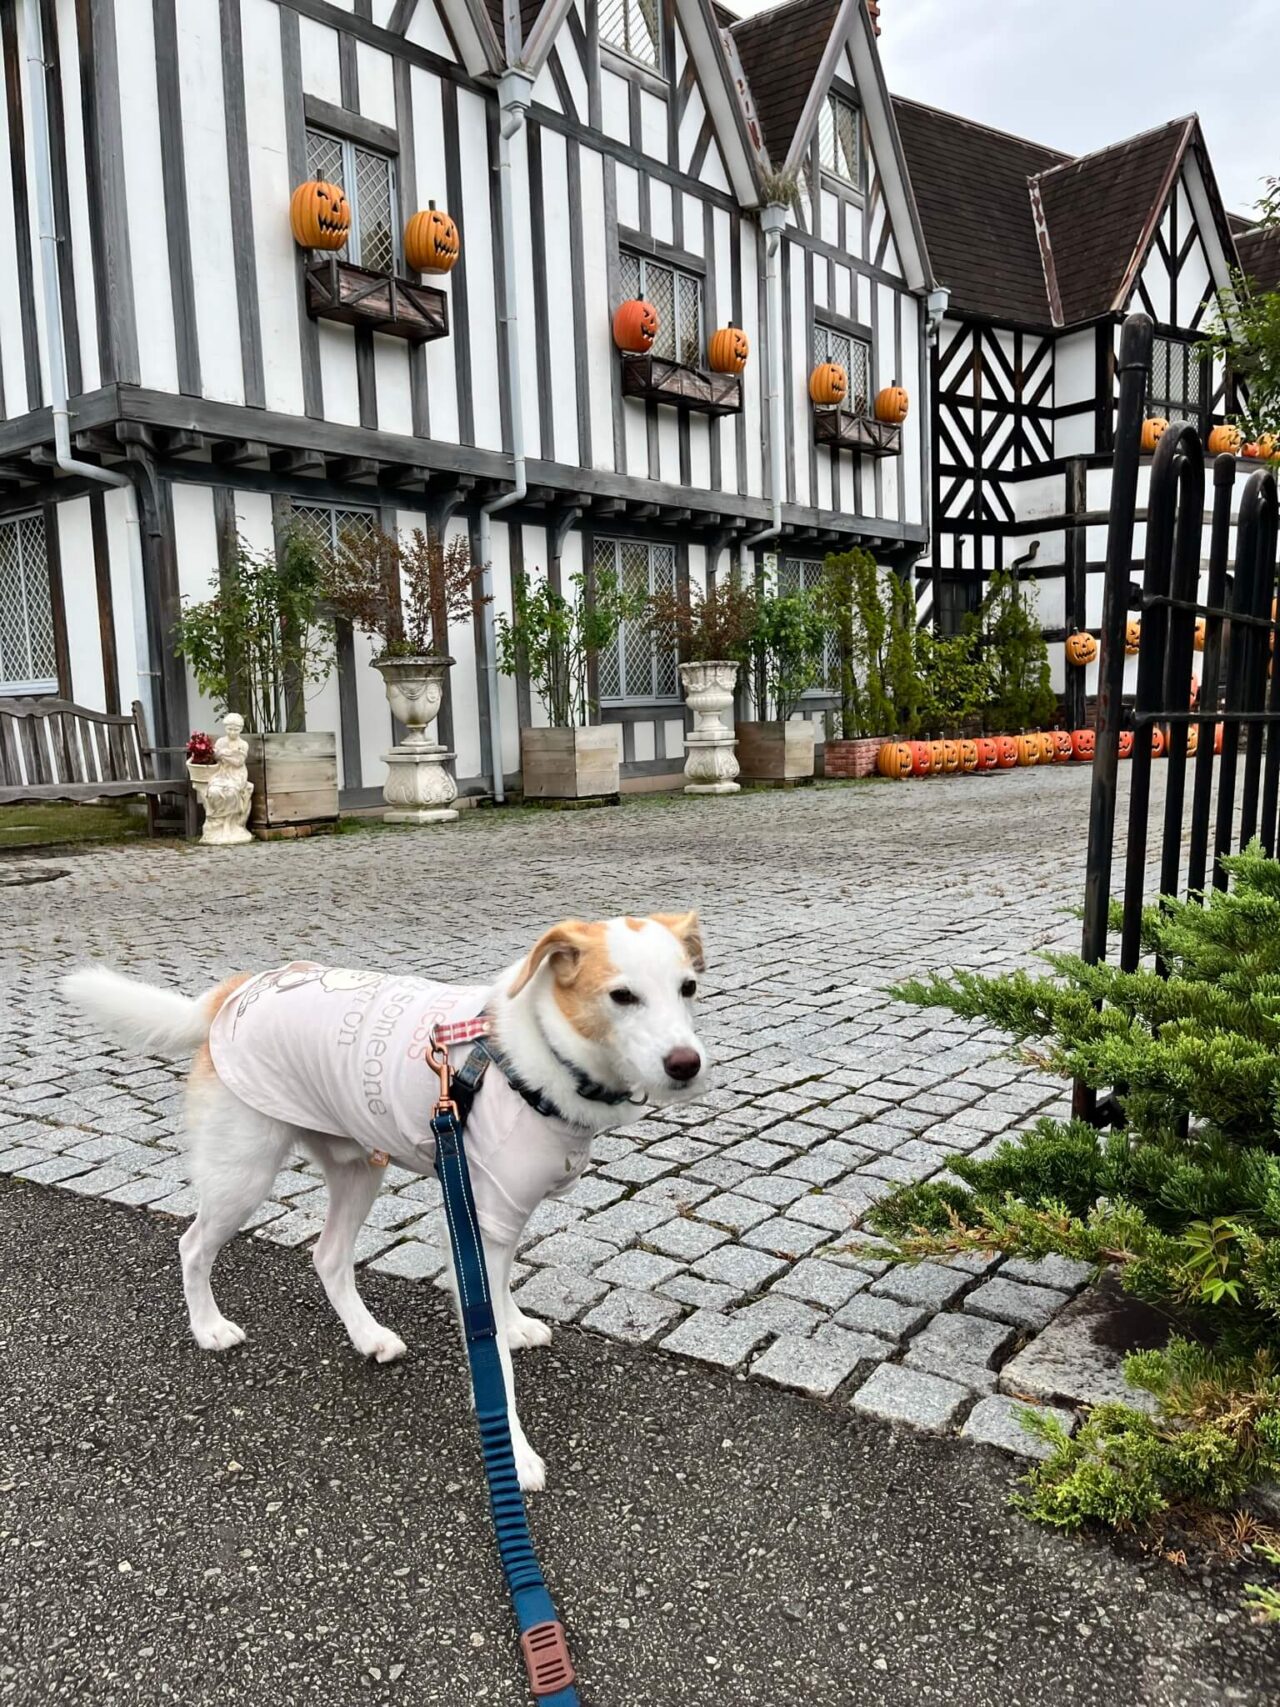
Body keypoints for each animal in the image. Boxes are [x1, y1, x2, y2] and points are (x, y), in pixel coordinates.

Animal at [62, 914, 713, 1488]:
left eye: (688, 987)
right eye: (621, 996)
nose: (687, 1064)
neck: (541, 1057)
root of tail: (236, 992)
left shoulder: (498, 1218)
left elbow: (500, 1296)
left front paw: (512, 1324)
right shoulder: (480, 1216)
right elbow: (492, 1358)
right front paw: (516, 1456)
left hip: (356, 1171)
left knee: (327, 1256)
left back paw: (368, 1336)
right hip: (242, 1173)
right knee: (194, 1246)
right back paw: (209, 1328)